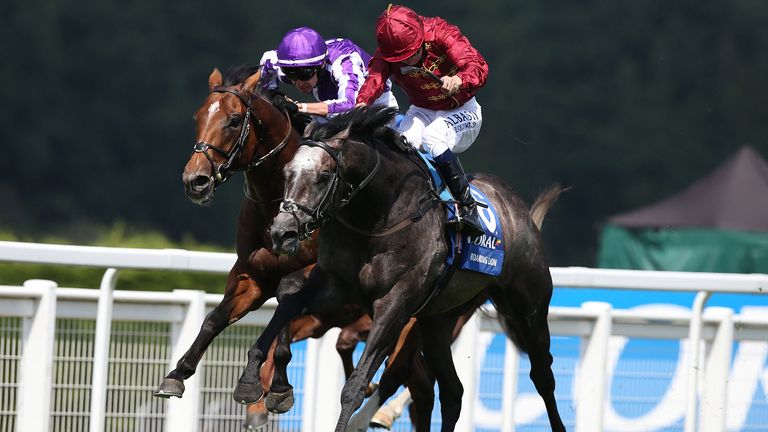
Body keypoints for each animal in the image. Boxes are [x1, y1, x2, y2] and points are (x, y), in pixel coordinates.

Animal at [254, 105, 564, 432]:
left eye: (324, 176)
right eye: (287, 173)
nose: (282, 232)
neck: (377, 218)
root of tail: (520, 211)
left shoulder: (394, 305)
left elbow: (355, 385)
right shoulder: (337, 286)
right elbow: (289, 297)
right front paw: (260, 383)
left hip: (528, 307)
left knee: (542, 376)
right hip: (439, 320)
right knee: (452, 391)